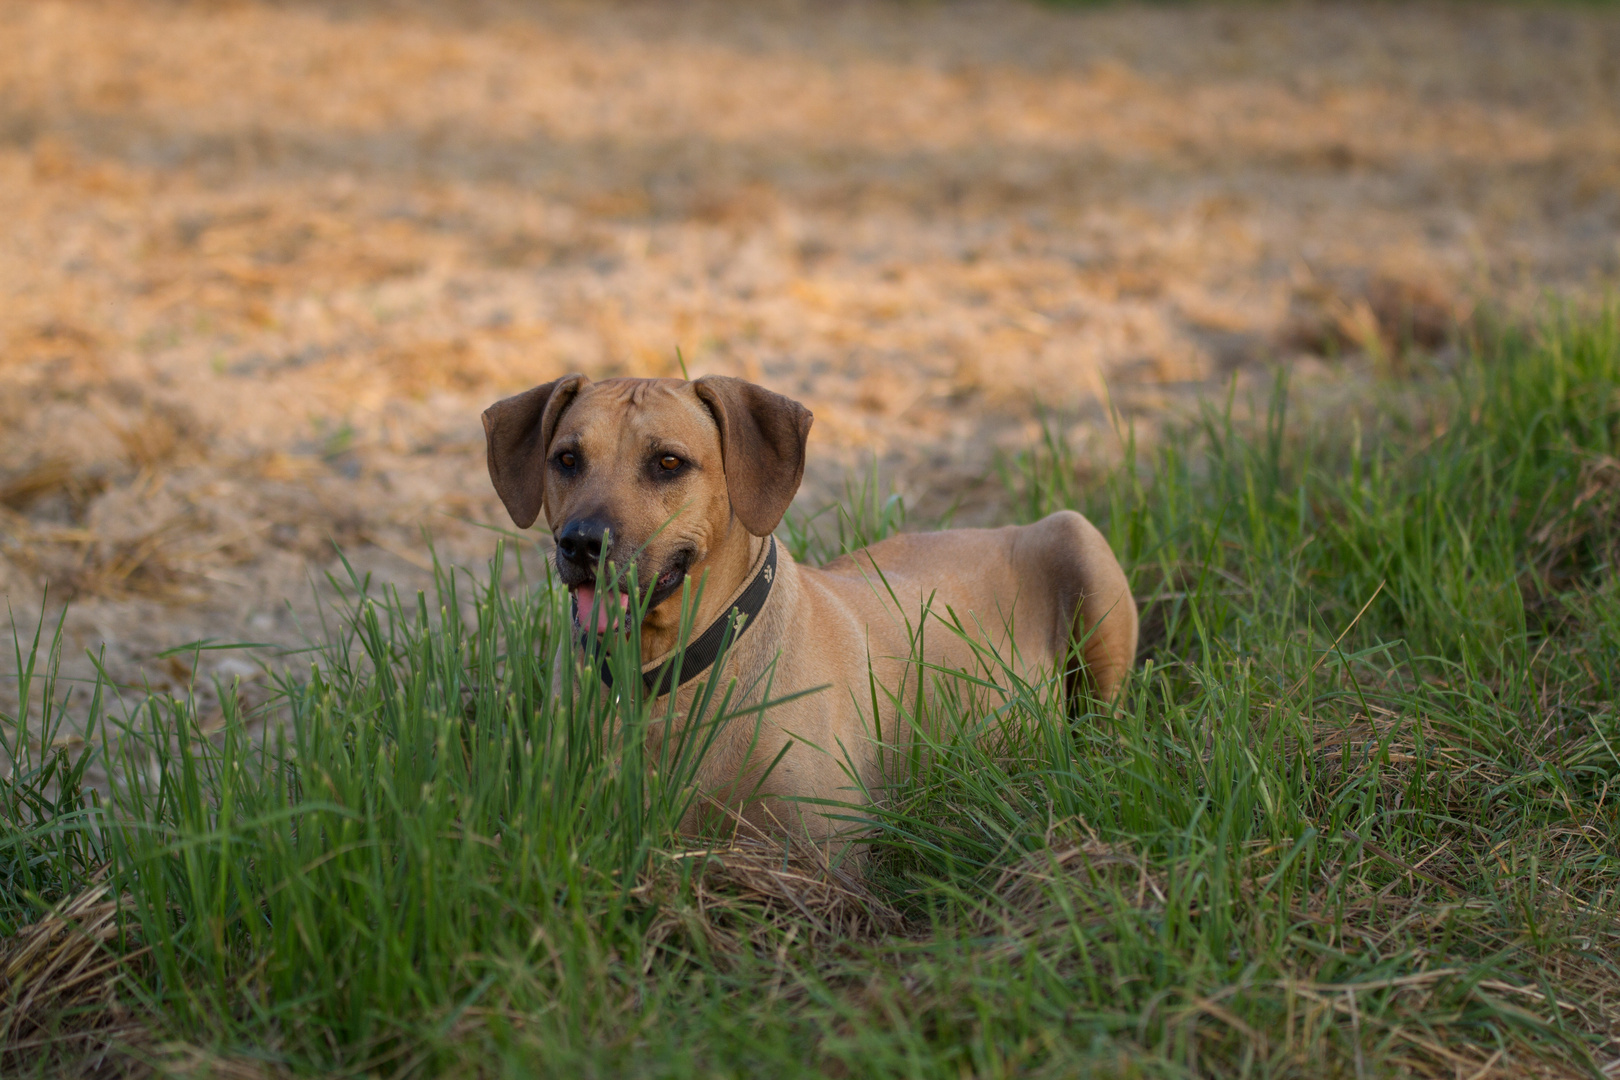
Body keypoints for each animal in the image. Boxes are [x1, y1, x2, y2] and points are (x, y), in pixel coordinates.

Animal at [479, 375, 1140, 848]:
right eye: (566, 459)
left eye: (667, 462)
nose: (582, 543)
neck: (666, 676)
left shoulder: (826, 862)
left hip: (1079, 540)